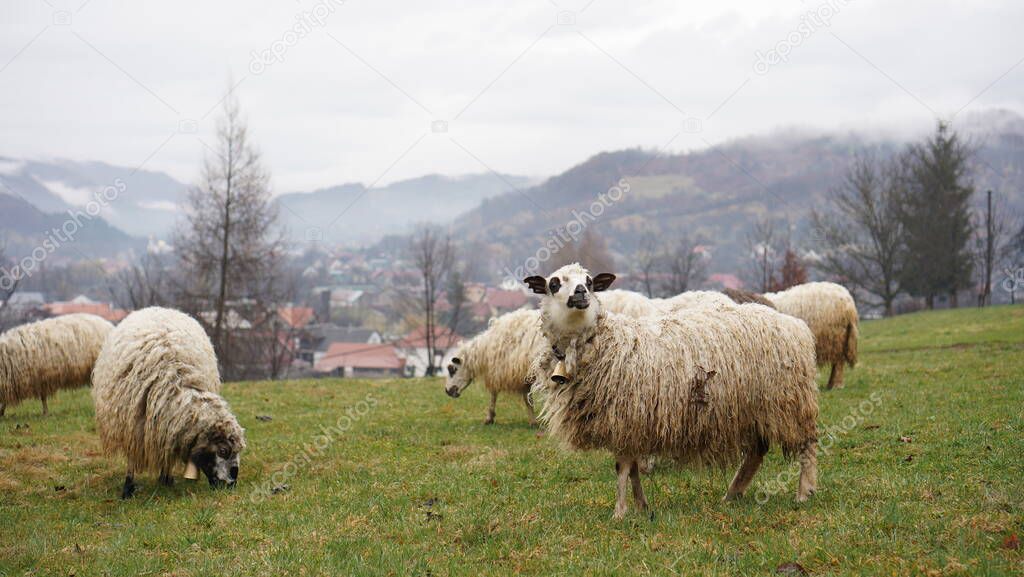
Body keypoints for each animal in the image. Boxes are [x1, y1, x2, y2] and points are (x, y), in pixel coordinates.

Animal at [90, 307, 245, 502]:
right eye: (223, 450)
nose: (231, 485)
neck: (174, 381)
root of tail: (157, 308)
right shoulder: (132, 427)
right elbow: (132, 458)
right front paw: (127, 489)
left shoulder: (169, 427)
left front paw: (166, 478)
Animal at [524, 264, 819, 520]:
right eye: (554, 283)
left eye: (589, 282)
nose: (581, 292)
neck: (602, 342)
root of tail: (795, 324)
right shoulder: (631, 425)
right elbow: (633, 468)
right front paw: (641, 506)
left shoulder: (626, 417)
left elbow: (622, 467)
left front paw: (620, 512)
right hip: (757, 407)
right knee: (756, 454)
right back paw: (732, 495)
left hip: (791, 401)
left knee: (807, 445)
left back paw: (804, 492)